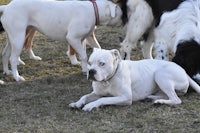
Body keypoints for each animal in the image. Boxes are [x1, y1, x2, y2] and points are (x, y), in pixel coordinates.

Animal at [69, 48, 200, 111]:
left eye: (102, 64)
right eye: (89, 63)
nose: (91, 71)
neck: (108, 80)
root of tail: (183, 69)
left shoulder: (125, 98)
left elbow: (103, 100)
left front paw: (90, 106)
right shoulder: (97, 93)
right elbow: (85, 96)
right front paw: (77, 103)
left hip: (160, 75)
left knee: (176, 99)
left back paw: (160, 102)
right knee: (167, 95)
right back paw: (152, 98)